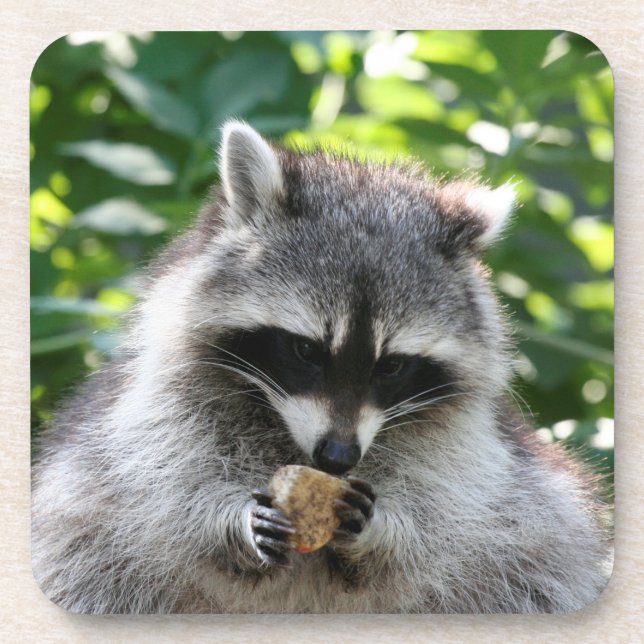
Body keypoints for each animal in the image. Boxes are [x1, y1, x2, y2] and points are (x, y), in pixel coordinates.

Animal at [31, 121, 611, 614]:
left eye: (392, 365)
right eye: (306, 350)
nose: (337, 457)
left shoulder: (464, 445)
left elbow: (445, 513)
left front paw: (382, 532)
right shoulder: (159, 410)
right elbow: (163, 489)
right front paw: (229, 523)